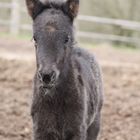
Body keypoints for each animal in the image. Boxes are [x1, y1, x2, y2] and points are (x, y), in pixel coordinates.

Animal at [26, 0, 103, 140]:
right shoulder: (41, 131)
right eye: (35, 38)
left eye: (67, 38)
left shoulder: (77, 130)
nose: (47, 76)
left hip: (95, 123)